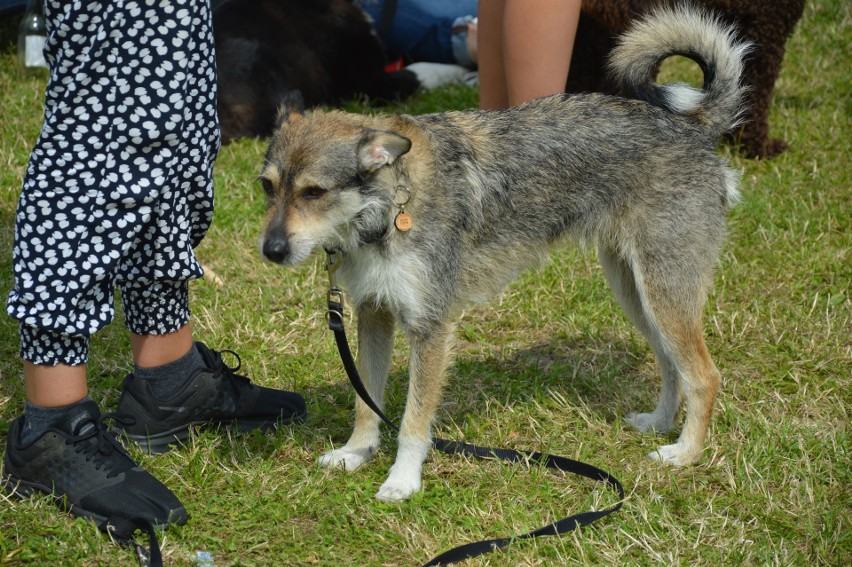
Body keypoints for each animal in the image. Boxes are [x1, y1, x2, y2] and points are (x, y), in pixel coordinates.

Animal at [258, 5, 744, 502]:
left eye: (314, 192)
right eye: (268, 187)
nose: (271, 250)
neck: (392, 202)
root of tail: (693, 128)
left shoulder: (429, 329)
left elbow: (413, 420)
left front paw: (403, 479)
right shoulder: (374, 316)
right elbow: (365, 401)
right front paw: (355, 453)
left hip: (665, 294)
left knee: (704, 376)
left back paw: (685, 453)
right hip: (639, 294)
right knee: (671, 364)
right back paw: (660, 424)